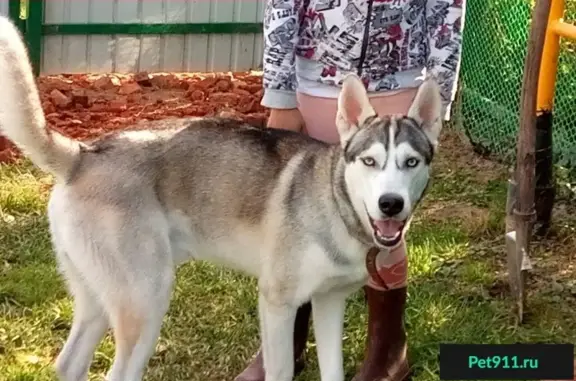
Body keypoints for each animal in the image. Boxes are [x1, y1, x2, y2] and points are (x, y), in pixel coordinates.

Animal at [0, 14, 444, 380]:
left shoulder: (329, 303)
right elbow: (281, 370)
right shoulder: (278, 303)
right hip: (147, 299)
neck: (336, 205)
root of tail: (84, 154)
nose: (391, 204)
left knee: (69, 363)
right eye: (370, 161)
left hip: (97, 300)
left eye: (410, 162)